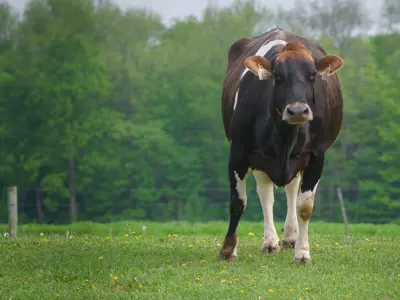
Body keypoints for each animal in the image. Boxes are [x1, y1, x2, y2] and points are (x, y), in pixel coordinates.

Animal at [219, 27, 344, 264]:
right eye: (278, 76)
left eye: (312, 75)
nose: (298, 111)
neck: (284, 138)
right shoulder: (238, 152)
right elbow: (237, 201)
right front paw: (228, 249)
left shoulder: (316, 155)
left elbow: (304, 207)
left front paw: (302, 254)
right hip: (260, 160)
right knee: (266, 195)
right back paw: (271, 242)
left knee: (291, 191)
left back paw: (290, 237)